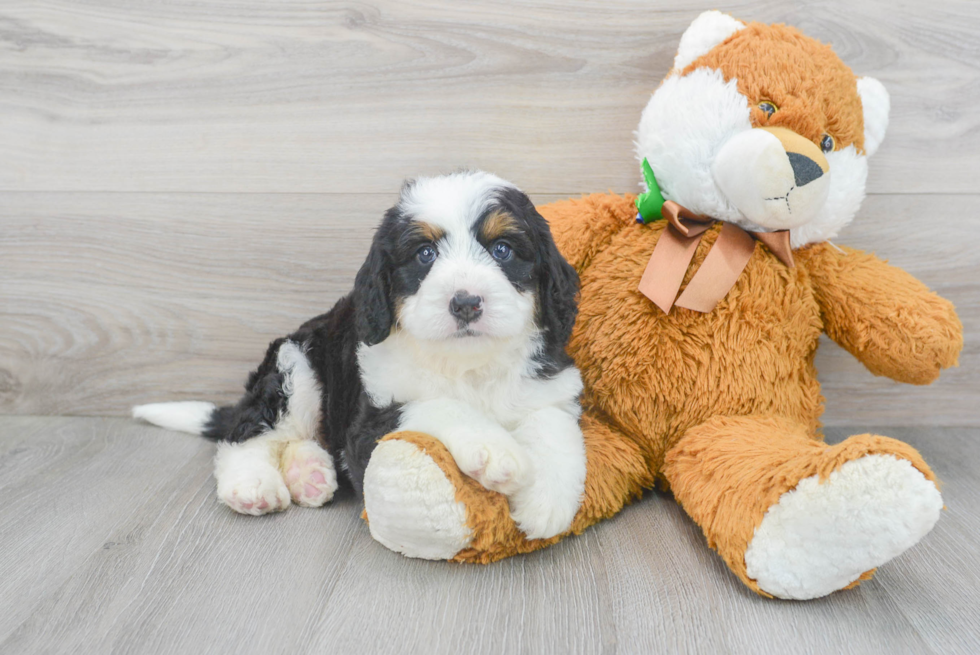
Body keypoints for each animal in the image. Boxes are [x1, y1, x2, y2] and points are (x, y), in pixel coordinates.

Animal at [134, 172, 584, 540]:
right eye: (425, 254)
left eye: (503, 250)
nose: (466, 303)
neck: (466, 364)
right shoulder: (369, 424)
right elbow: (437, 405)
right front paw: (494, 448)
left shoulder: (550, 383)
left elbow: (554, 425)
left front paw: (547, 502)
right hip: (296, 363)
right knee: (247, 431)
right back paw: (252, 484)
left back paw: (308, 473)